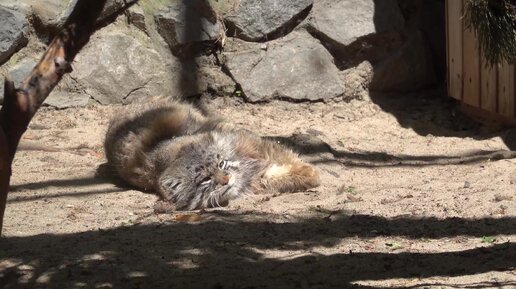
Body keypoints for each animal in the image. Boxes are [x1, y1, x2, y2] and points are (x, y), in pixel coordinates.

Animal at [104, 99, 318, 209]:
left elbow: (282, 155)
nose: (226, 180)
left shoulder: (253, 144)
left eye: (221, 164)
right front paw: (305, 175)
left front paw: (310, 172)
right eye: (205, 179)